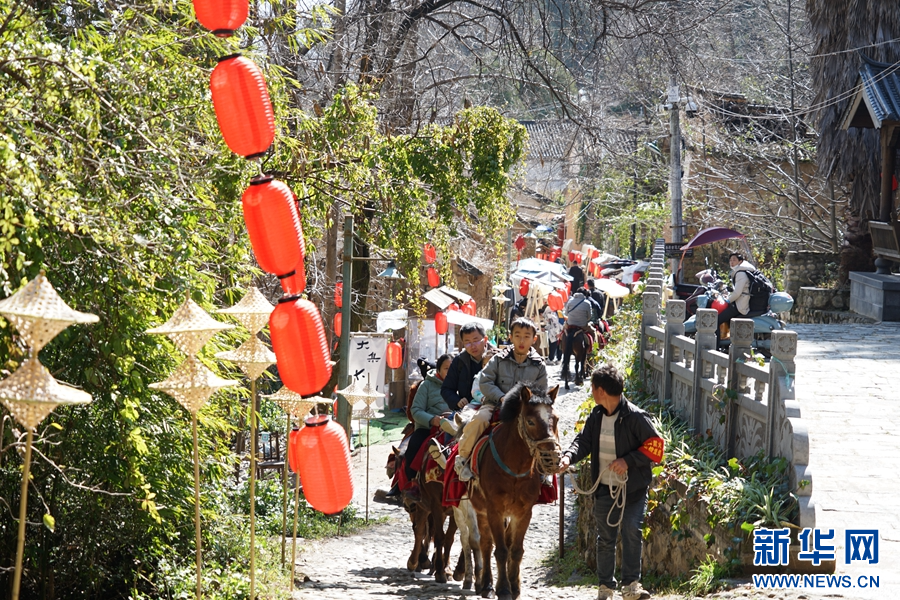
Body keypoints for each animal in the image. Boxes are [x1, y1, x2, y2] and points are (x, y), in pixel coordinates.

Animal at [469, 383, 561, 600]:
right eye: (530, 421)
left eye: (556, 419)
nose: (552, 458)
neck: (515, 469)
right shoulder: (494, 510)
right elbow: (500, 550)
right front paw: (503, 589)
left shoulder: (524, 512)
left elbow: (516, 550)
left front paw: (515, 587)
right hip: (481, 510)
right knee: (486, 544)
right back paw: (486, 585)